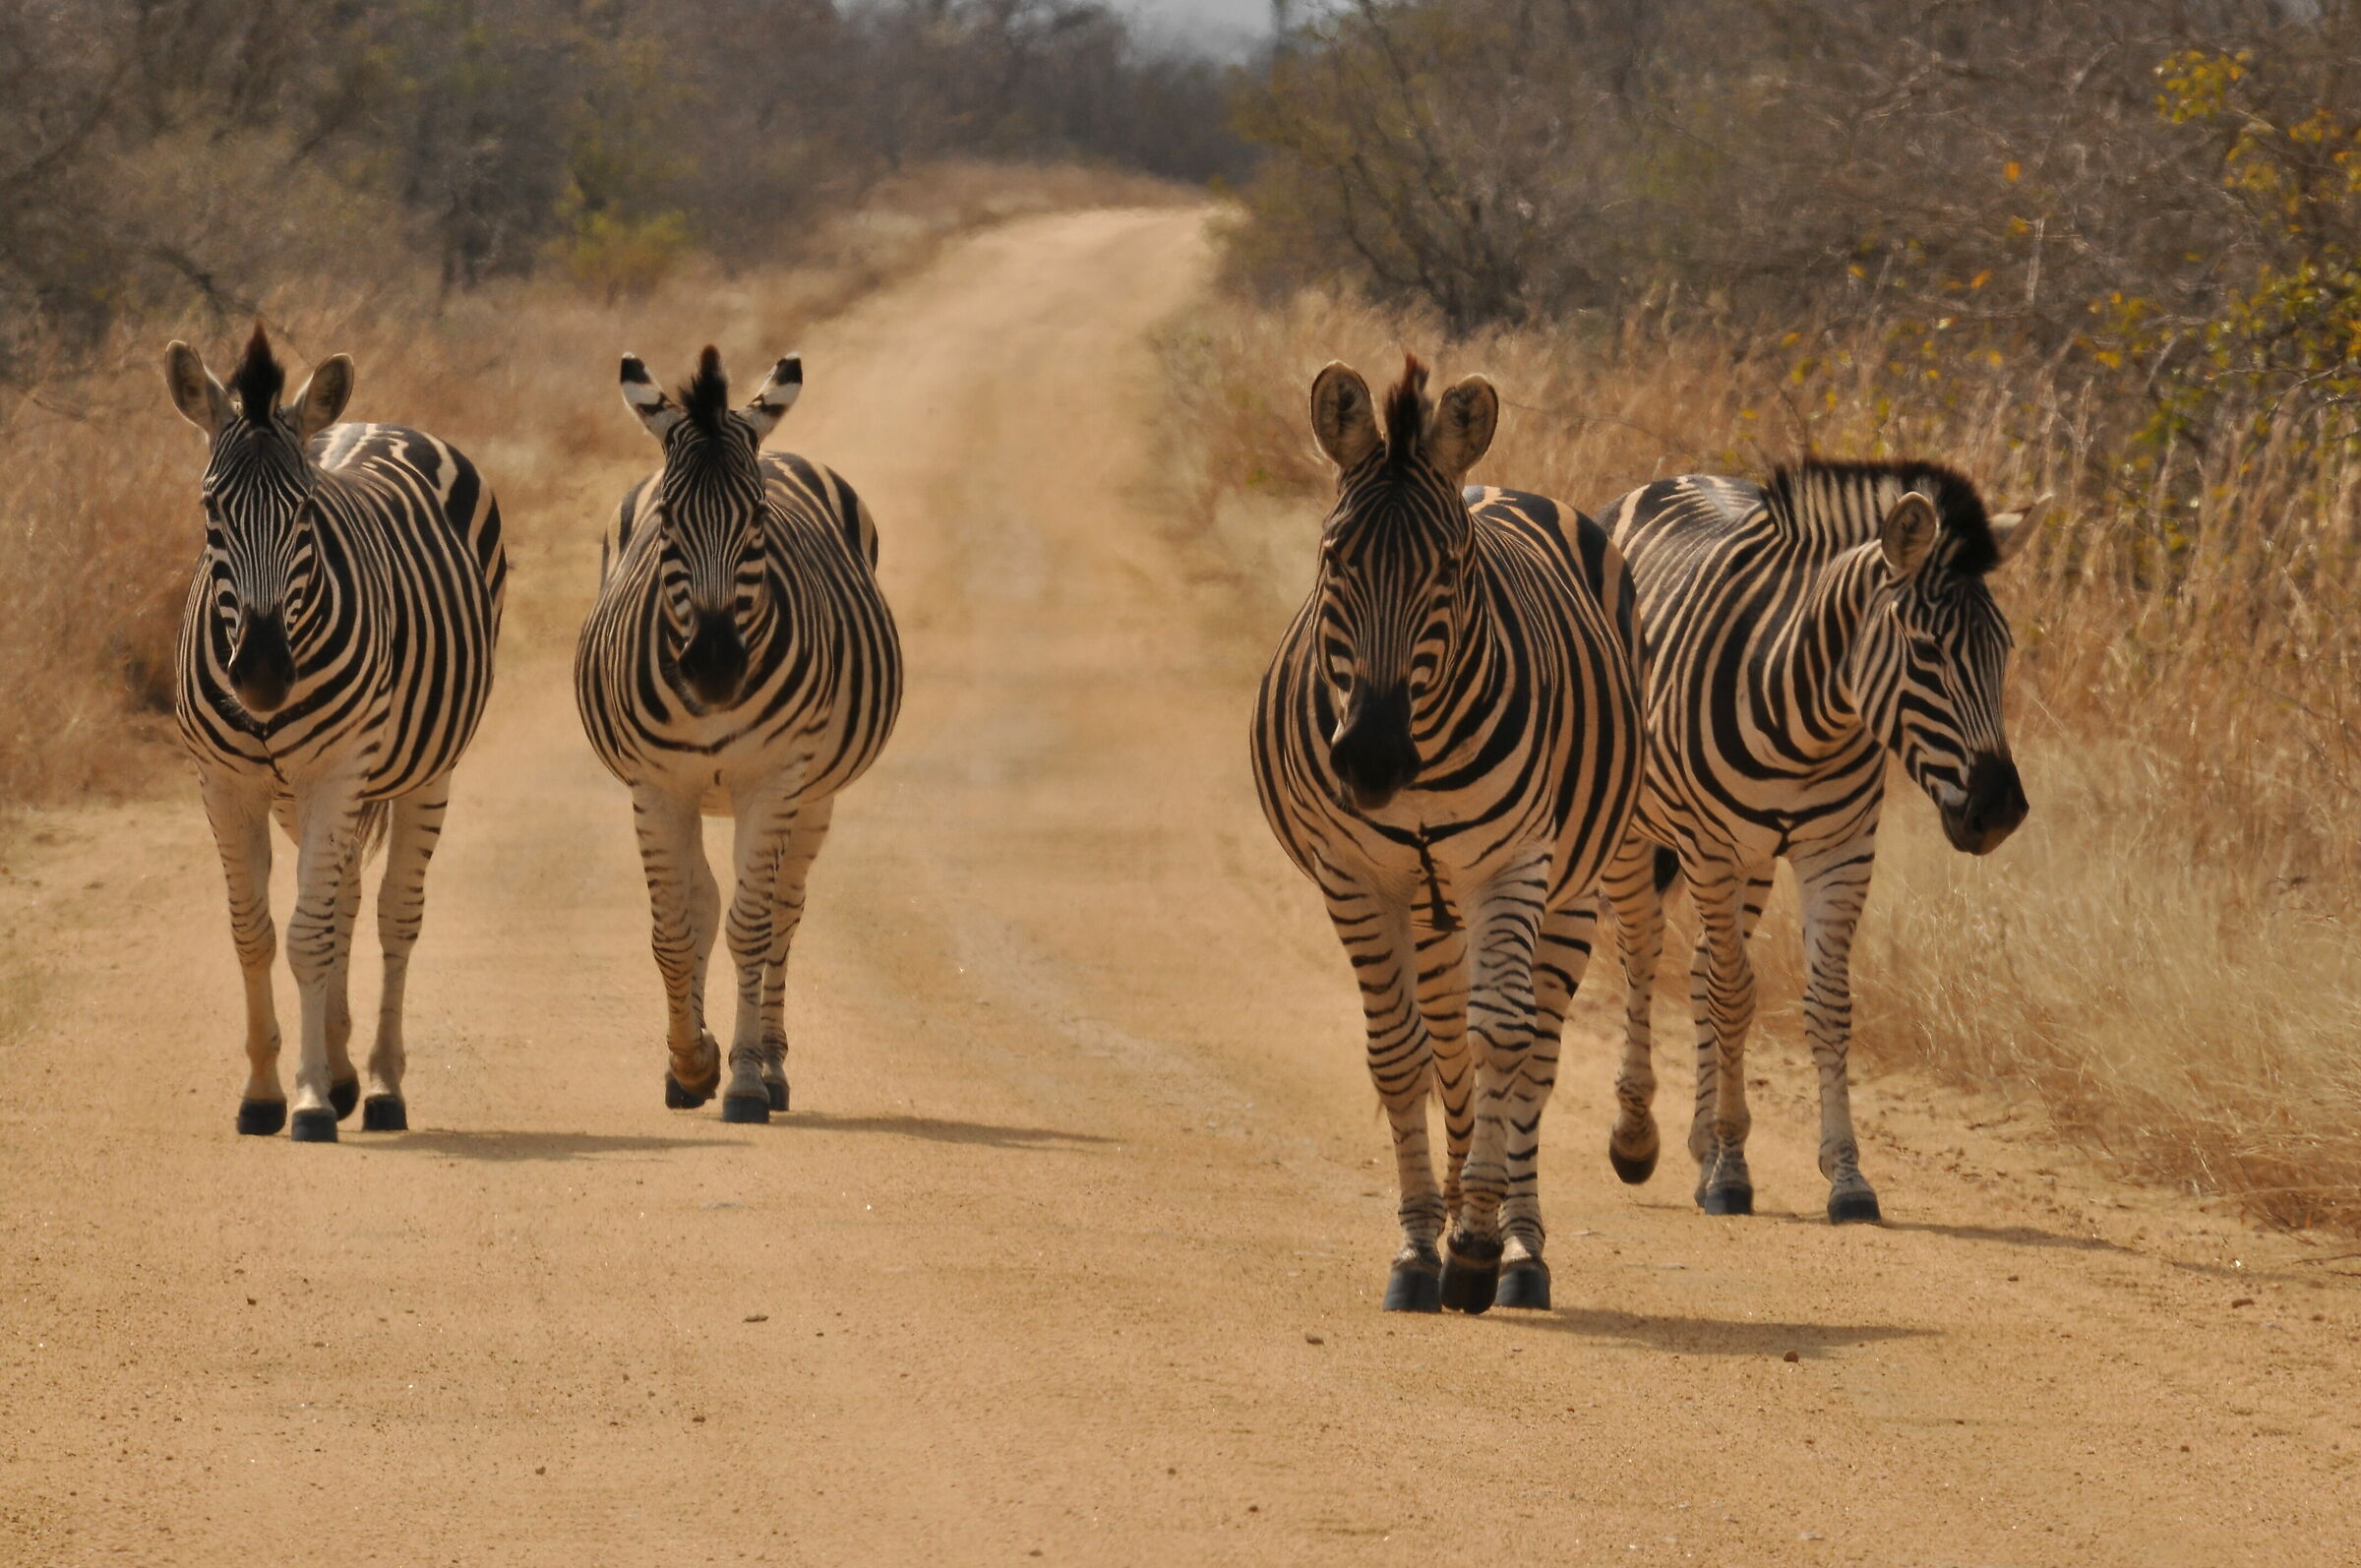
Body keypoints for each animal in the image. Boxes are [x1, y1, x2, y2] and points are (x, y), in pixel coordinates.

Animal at [163, 325, 506, 1142]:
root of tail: (373, 423)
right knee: (346, 896)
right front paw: (264, 1092)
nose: (260, 675)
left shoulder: (337, 770)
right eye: (210, 506)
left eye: (304, 510)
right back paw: (350, 1071)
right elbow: (255, 931)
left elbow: (307, 933)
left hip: (422, 772)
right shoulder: (225, 783)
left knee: (393, 914)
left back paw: (379, 1085)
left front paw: (311, 1098)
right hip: (304, 792)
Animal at [575, 347, 900, 1124]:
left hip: (815, 793)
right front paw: (690, 1063)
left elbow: (751, 927)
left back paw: (774, 1067)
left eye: (756, 517)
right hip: (695, 793)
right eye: (667, 517)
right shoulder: (656, 786)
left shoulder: (773, 779)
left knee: (783, 911)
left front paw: (746, 1078)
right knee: (703, 901)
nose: (717, 667)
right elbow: (675, 927)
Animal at [1252, 355, 1644, 1314]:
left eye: (1451, 566)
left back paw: (1520, 1246)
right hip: (1433, 909)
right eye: (1333, 558)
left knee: (1532, 1047)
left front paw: (1476, 1246)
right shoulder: (1354, 874)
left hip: (1568, 890)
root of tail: (1492, 480)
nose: (1371, 758)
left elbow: (1504, 1037)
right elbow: (1401, 1058)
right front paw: (1420, 1248)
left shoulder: (1514, 867)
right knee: (1444, 1040)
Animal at [1595, 460, 2033, 1224]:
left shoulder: (1840, 849)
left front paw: (1845, 1176)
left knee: (1700, 967)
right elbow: (1734, 996)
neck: (1806, 713)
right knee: (1644, 953)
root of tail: (1665, 481)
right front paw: (1732, 1169)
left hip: (1752, 862)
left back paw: (1699, 1147)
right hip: (1645, 837)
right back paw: (1637, 1136)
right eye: (1926, 651)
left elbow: (1826, 1004)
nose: (2000, 811)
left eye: (2003, 650)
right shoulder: (1708, 846)